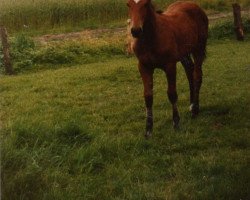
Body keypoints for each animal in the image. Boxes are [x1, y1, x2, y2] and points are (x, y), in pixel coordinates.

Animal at [127, 0, 209, 138]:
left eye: (146, 4)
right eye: (128, 5)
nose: (136, 31)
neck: (151, 39)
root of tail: (195, 5)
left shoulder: (170, 65)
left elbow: (172, 94)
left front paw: (176, 123)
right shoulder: (143, 67)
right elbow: (148, 96)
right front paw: (148, 129)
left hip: (198, 48)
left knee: (197, 75)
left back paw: (195, 109)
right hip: (183, 53)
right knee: (190, 71)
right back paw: (192, 104)